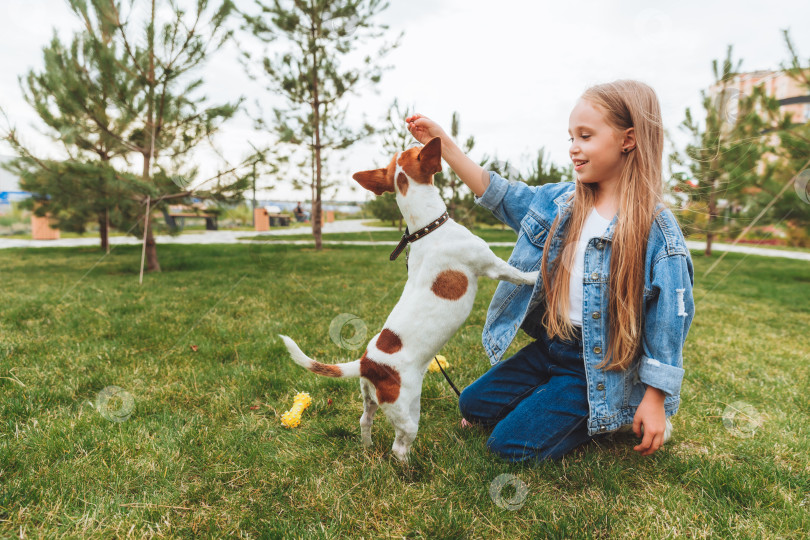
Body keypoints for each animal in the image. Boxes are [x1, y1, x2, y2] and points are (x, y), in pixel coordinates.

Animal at [278, 136, 536, 460]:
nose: (418, 136)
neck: (426, 229)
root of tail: (367, 363)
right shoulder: (491, 265)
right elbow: (516, 274)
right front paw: (537, 276)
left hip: (370, 399)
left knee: (364, 420)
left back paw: (367, 448)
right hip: (407, 410)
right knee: (399, 445)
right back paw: (410, 465)